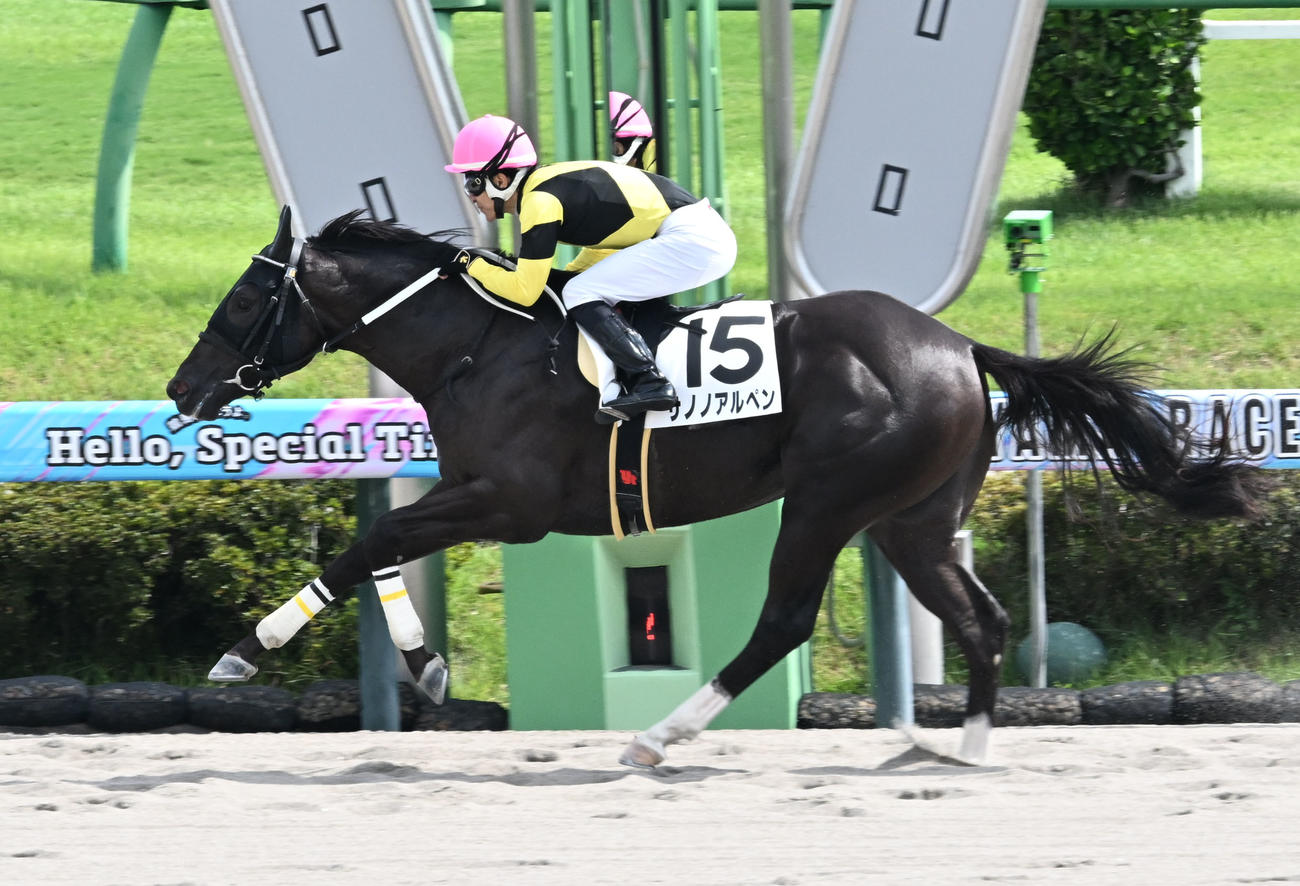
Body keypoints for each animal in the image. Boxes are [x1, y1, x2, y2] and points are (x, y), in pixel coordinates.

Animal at [167, 205, 1265, 765]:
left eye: (246, 298)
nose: (183, 388)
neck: (479, 347)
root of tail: (958, 345)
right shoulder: (471, 489)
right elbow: (381, 551)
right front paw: (423, 666)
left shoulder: (516, 504)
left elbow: (369, 545)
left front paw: (244, 652)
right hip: (913, 515)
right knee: (980, 619)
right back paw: (961, 749)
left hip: (826, 502)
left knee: (783, 620)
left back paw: (661, 735)